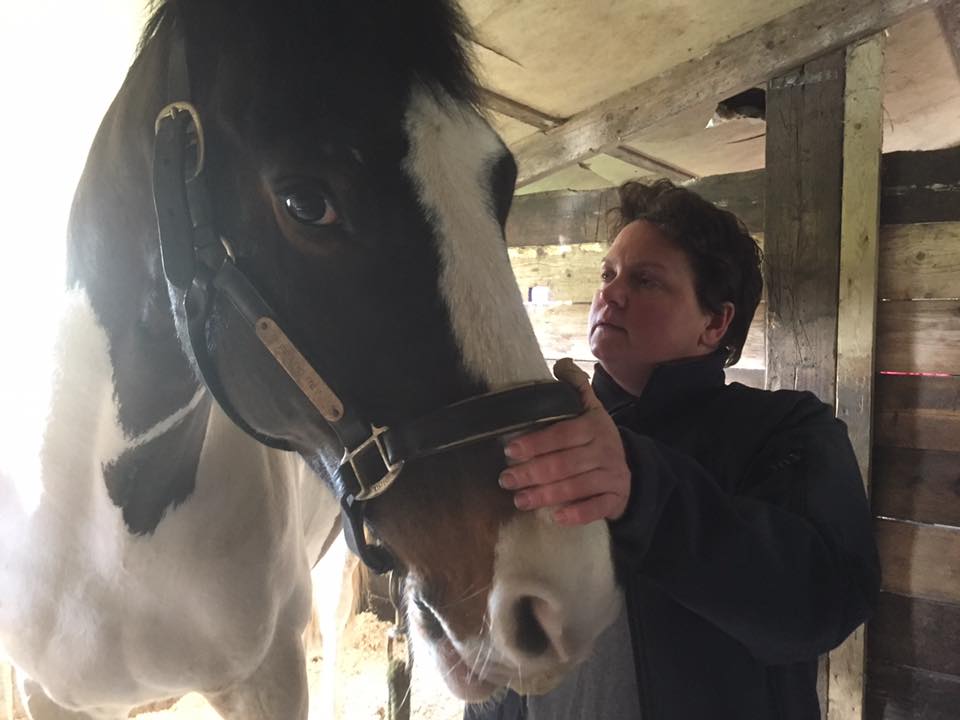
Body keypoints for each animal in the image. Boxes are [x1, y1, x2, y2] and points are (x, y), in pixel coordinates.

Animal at [0, 1, 620, 717]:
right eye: (306, 202)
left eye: (500, 185)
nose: (564, 591)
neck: (109, 530)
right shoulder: (48, 695)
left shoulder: (269, 677)